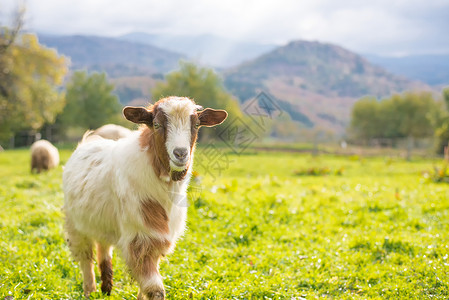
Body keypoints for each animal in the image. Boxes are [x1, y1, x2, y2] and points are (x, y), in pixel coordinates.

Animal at [62, 97, 228, 298]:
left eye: (196, 125)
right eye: (156, 124)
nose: (180, 153)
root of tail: (89, 140)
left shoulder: (157, 239)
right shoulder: (139, 237)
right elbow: (155, 289)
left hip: (103, 223)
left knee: (104, 247)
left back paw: (106, 289)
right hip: (75, 225)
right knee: (85, 258)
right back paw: (90, 291)